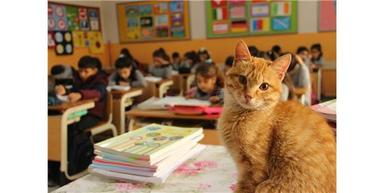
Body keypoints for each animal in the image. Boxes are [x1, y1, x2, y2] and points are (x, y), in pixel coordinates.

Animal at [219, 40, 336, 192]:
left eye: (264, 86)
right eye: (242, 79)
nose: (248, 96)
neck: (239, 115)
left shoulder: (254, 169)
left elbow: (244, 187)